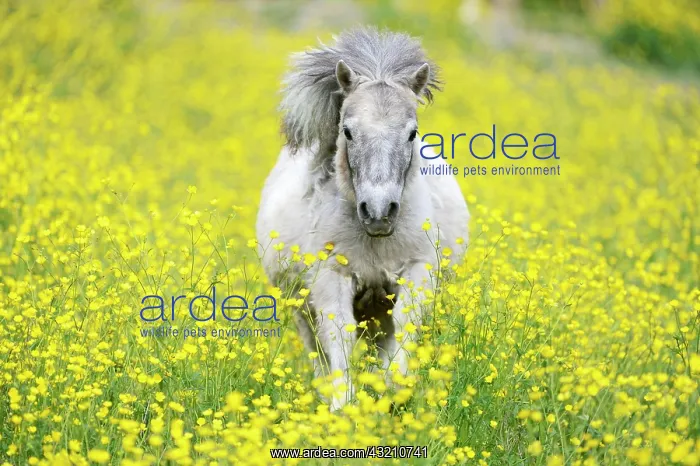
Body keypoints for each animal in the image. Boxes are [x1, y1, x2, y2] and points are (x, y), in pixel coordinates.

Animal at [256, 27, 470, 411]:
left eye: (412, 133)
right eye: (348, 131)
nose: (379, 212)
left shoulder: (416, 272)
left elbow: (404, 328)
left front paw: (391, 395)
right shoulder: (332, 277)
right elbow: (338, 334)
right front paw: (343, 408)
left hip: (376, 308)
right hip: (302, 307)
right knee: (317, 350)